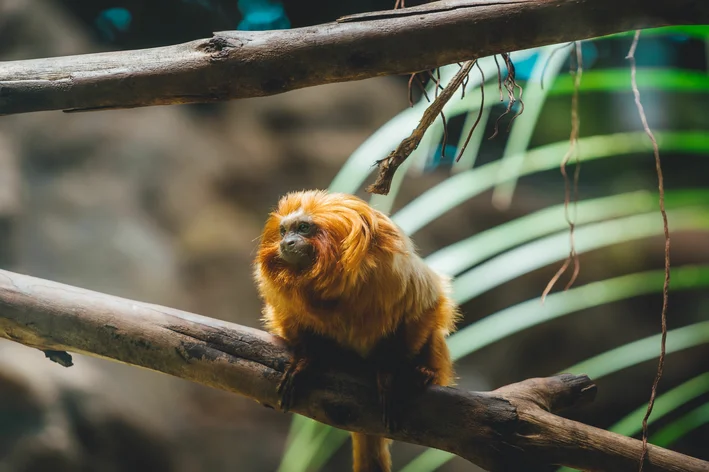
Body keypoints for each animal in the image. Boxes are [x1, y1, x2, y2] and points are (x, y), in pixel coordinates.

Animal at [254, 190, 460, 472]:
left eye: (304, 228)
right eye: (284, 230)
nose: (287, 243)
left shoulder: (398, 272)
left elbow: (425, 307)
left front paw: (391, 374)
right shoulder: (286, 306)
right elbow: (293, 324)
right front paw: (306, 360)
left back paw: (425, 373)